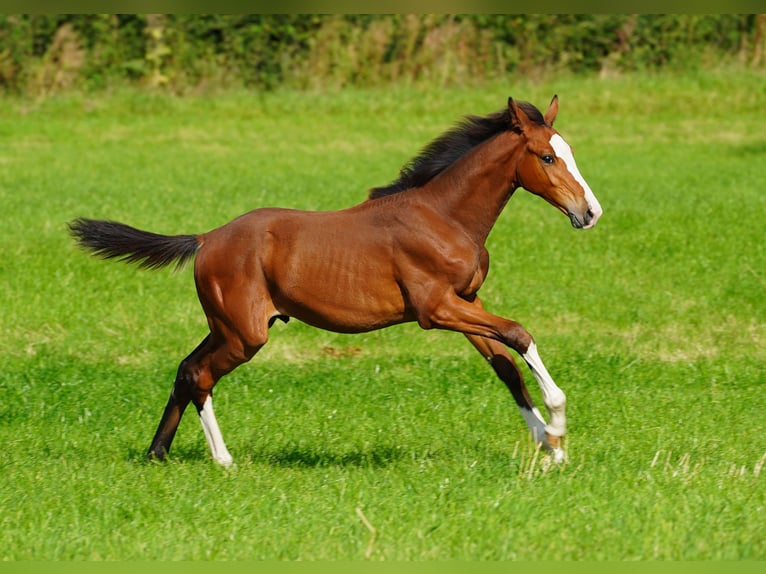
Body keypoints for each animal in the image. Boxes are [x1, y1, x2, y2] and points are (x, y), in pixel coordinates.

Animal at [69, 95, 604, 468]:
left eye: (571, 151)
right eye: (547, 157)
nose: (591, 212)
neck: (444, 216)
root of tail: (206, 238)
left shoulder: (467, 300)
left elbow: (506, 366)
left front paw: (550, 447)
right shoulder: (436, 309)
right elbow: (519, 335)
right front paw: (558, 427)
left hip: (228, 326)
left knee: (185, 368)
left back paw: (157, 453)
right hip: (245, 333)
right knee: (200, 374)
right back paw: (223, 460)